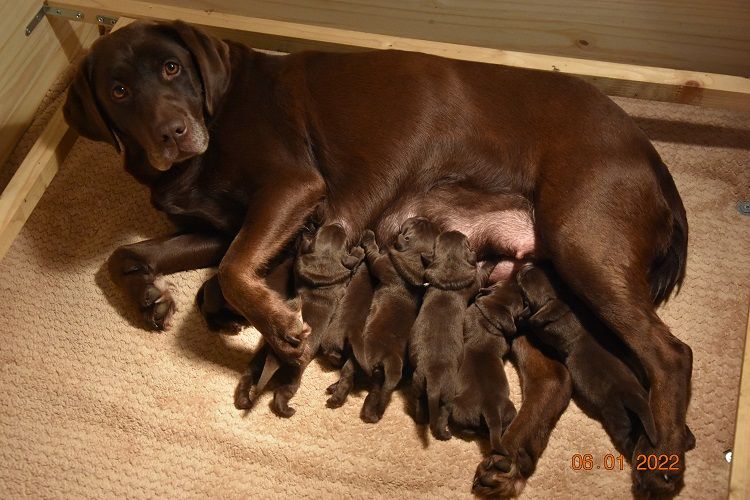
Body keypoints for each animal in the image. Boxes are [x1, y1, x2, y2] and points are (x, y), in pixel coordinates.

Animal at [358, 216, 440, 422]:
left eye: (414, 223)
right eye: (422, 222)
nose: (421, 216)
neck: (414, 261)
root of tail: (391, 359)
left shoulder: (381, 261)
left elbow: (373, 252)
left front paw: (369, 236)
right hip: (382, 379)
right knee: (380, 393)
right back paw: (371, 412)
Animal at [412, 229, 482, 438]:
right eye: (467, 241)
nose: (453, 230)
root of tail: (434, 383)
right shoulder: (475, 280)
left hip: (417, 382)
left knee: (418, 403)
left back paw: (421, 417)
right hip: (448, 394)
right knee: (443, 413)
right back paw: (444, 433)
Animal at [516, 266, 656, 458]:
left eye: (525, 279)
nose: (525, 266)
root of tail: (634, 396)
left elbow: (533, 323)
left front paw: (523, 318)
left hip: (617, 417)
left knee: (626, 438)